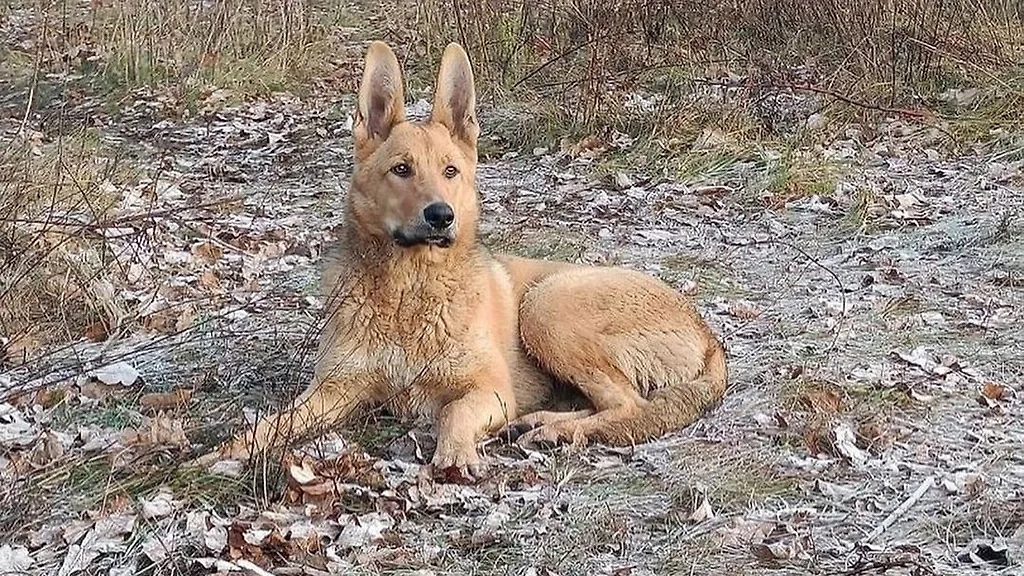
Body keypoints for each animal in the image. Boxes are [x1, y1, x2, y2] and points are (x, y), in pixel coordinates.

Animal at [216, 41, 729, 475]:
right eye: (401, 169)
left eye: (451, 171)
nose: (441, 216)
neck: (409, 290)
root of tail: (708, 334)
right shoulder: (333, 391)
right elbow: (273, 424)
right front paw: (225, 454)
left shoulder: (488, 390)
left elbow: (455, 411)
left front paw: (455, 453)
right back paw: (542, 422)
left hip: (547, 308)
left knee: (630, 406)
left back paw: (559, 431)